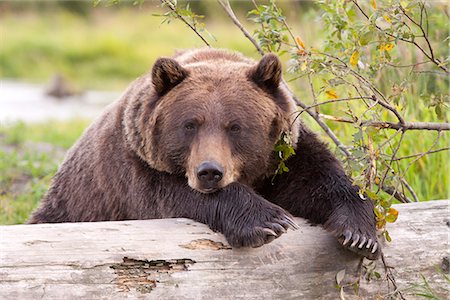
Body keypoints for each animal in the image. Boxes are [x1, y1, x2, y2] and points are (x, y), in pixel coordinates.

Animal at [28, 48, 380, 258]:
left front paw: (359, 234)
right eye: (190, 125)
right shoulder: (136, 167)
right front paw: (269, 221)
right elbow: (176, 196)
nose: (209, 171)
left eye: (235, 126)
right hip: (68, 208)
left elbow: (319, 180)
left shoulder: (283, 157)